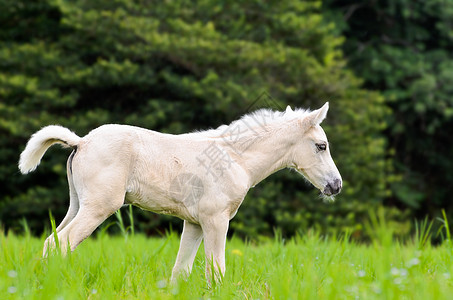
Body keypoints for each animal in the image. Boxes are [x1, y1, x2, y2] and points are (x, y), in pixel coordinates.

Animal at [18, 102, 342, 282]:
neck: (235, 158)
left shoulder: (194, 223)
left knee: (50, 242)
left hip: (76, 205)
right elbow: (216, 271)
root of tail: (81, 141)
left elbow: (180, 271)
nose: (336, 185)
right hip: (98, 207)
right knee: (62, 243)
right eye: (321, 146)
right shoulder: (215, 220)